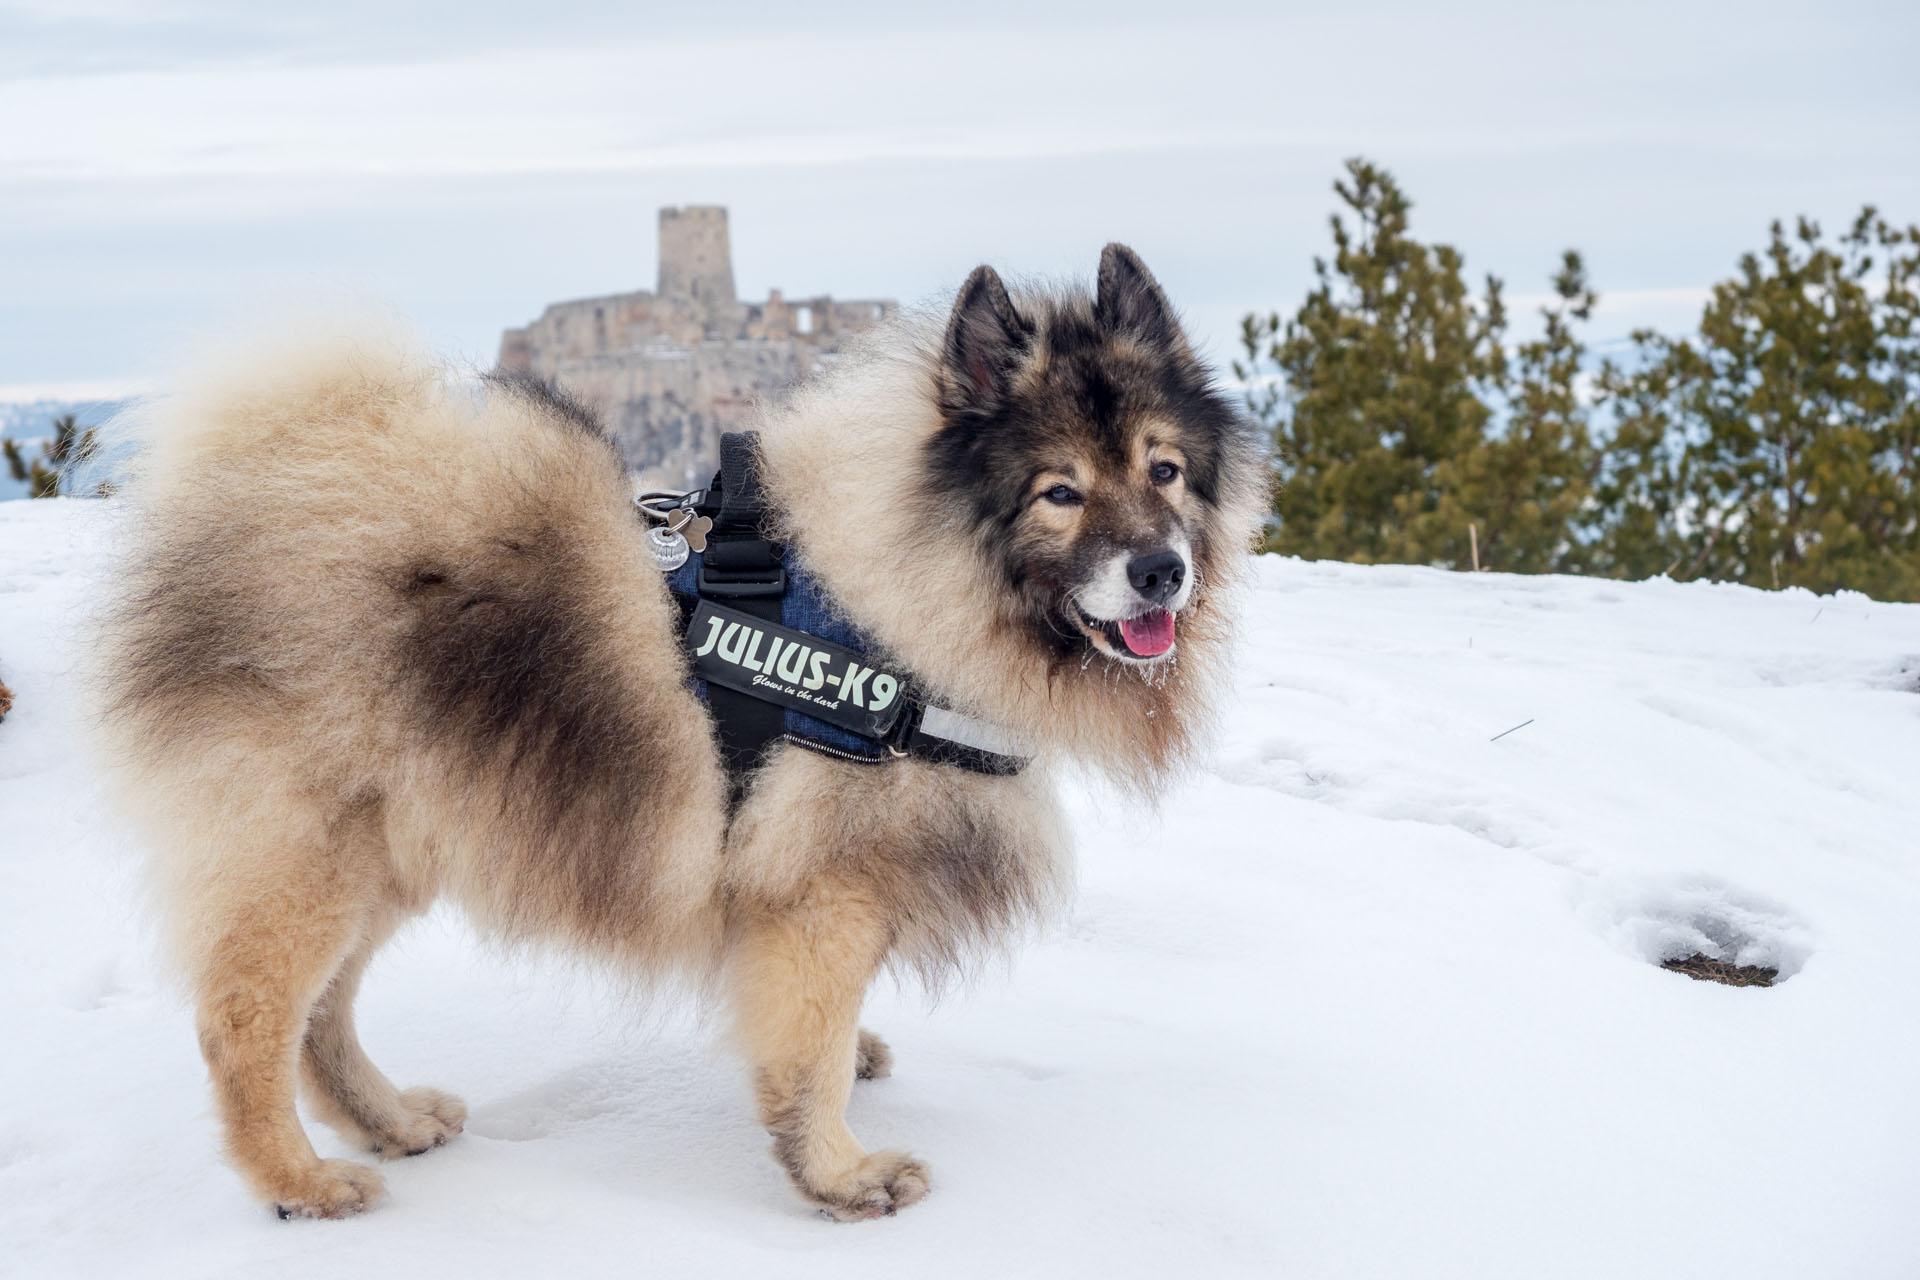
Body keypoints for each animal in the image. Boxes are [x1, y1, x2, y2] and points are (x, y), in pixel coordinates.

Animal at [93, 247, 1259, 1220]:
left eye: (1162, 470)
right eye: (1060, 491)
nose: (1161, 570)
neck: (903, 592)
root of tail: (254, 486)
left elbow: (819, 1023)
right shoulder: (820, 890)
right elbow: (807, 1051)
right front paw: (838, 1173)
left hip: (388, 848)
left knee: (321, 1019)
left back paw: (389, 1121)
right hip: (313, 857)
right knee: (247, 1023)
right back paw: (299, 1182)